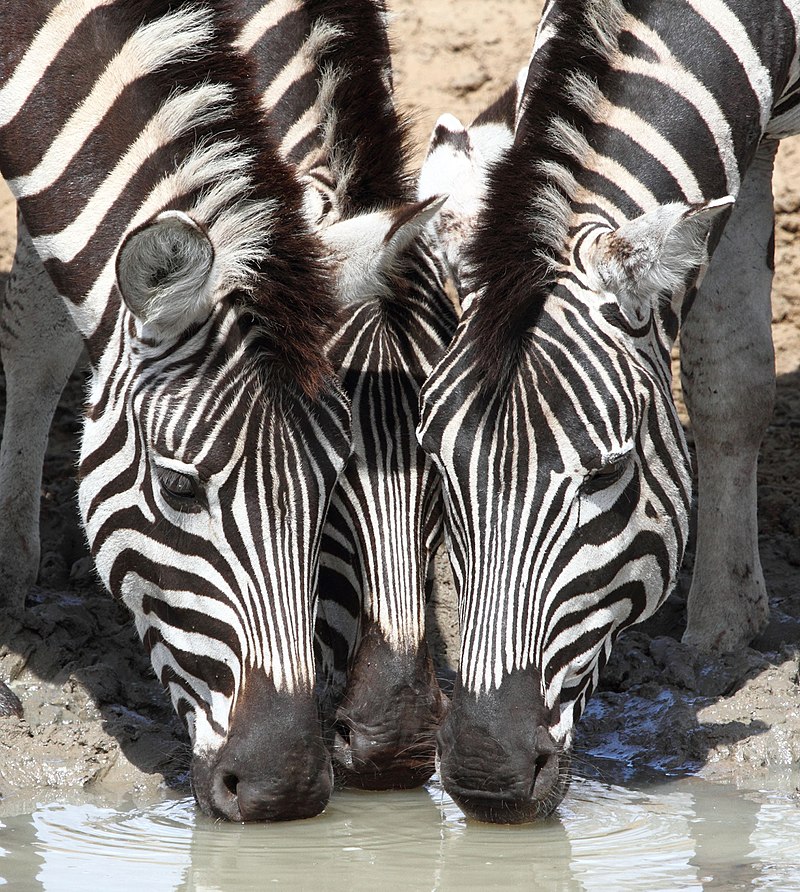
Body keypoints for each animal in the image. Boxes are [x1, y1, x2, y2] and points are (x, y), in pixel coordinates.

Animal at [416, 0, 796, 824]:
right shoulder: (743, 147)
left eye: (607, 474)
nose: (487, 773)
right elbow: (730, 378)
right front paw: (727, 620)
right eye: (435, 465)